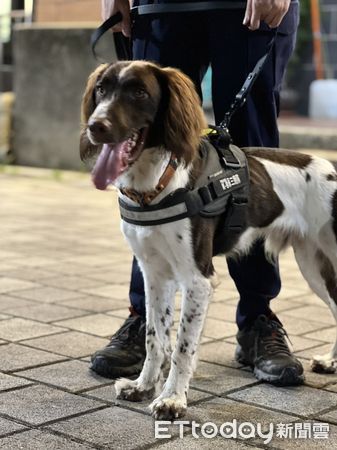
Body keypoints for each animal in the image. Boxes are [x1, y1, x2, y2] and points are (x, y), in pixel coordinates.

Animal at [80, 61, 336, 420]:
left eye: (139, 92)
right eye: (101, 89)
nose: (96, 126)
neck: (156, 184)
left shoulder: (198, 279)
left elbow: (182, 347)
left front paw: (172, 399)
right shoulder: (154, 273)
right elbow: (155, 338)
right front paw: (143, 386)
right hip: (312, 262)